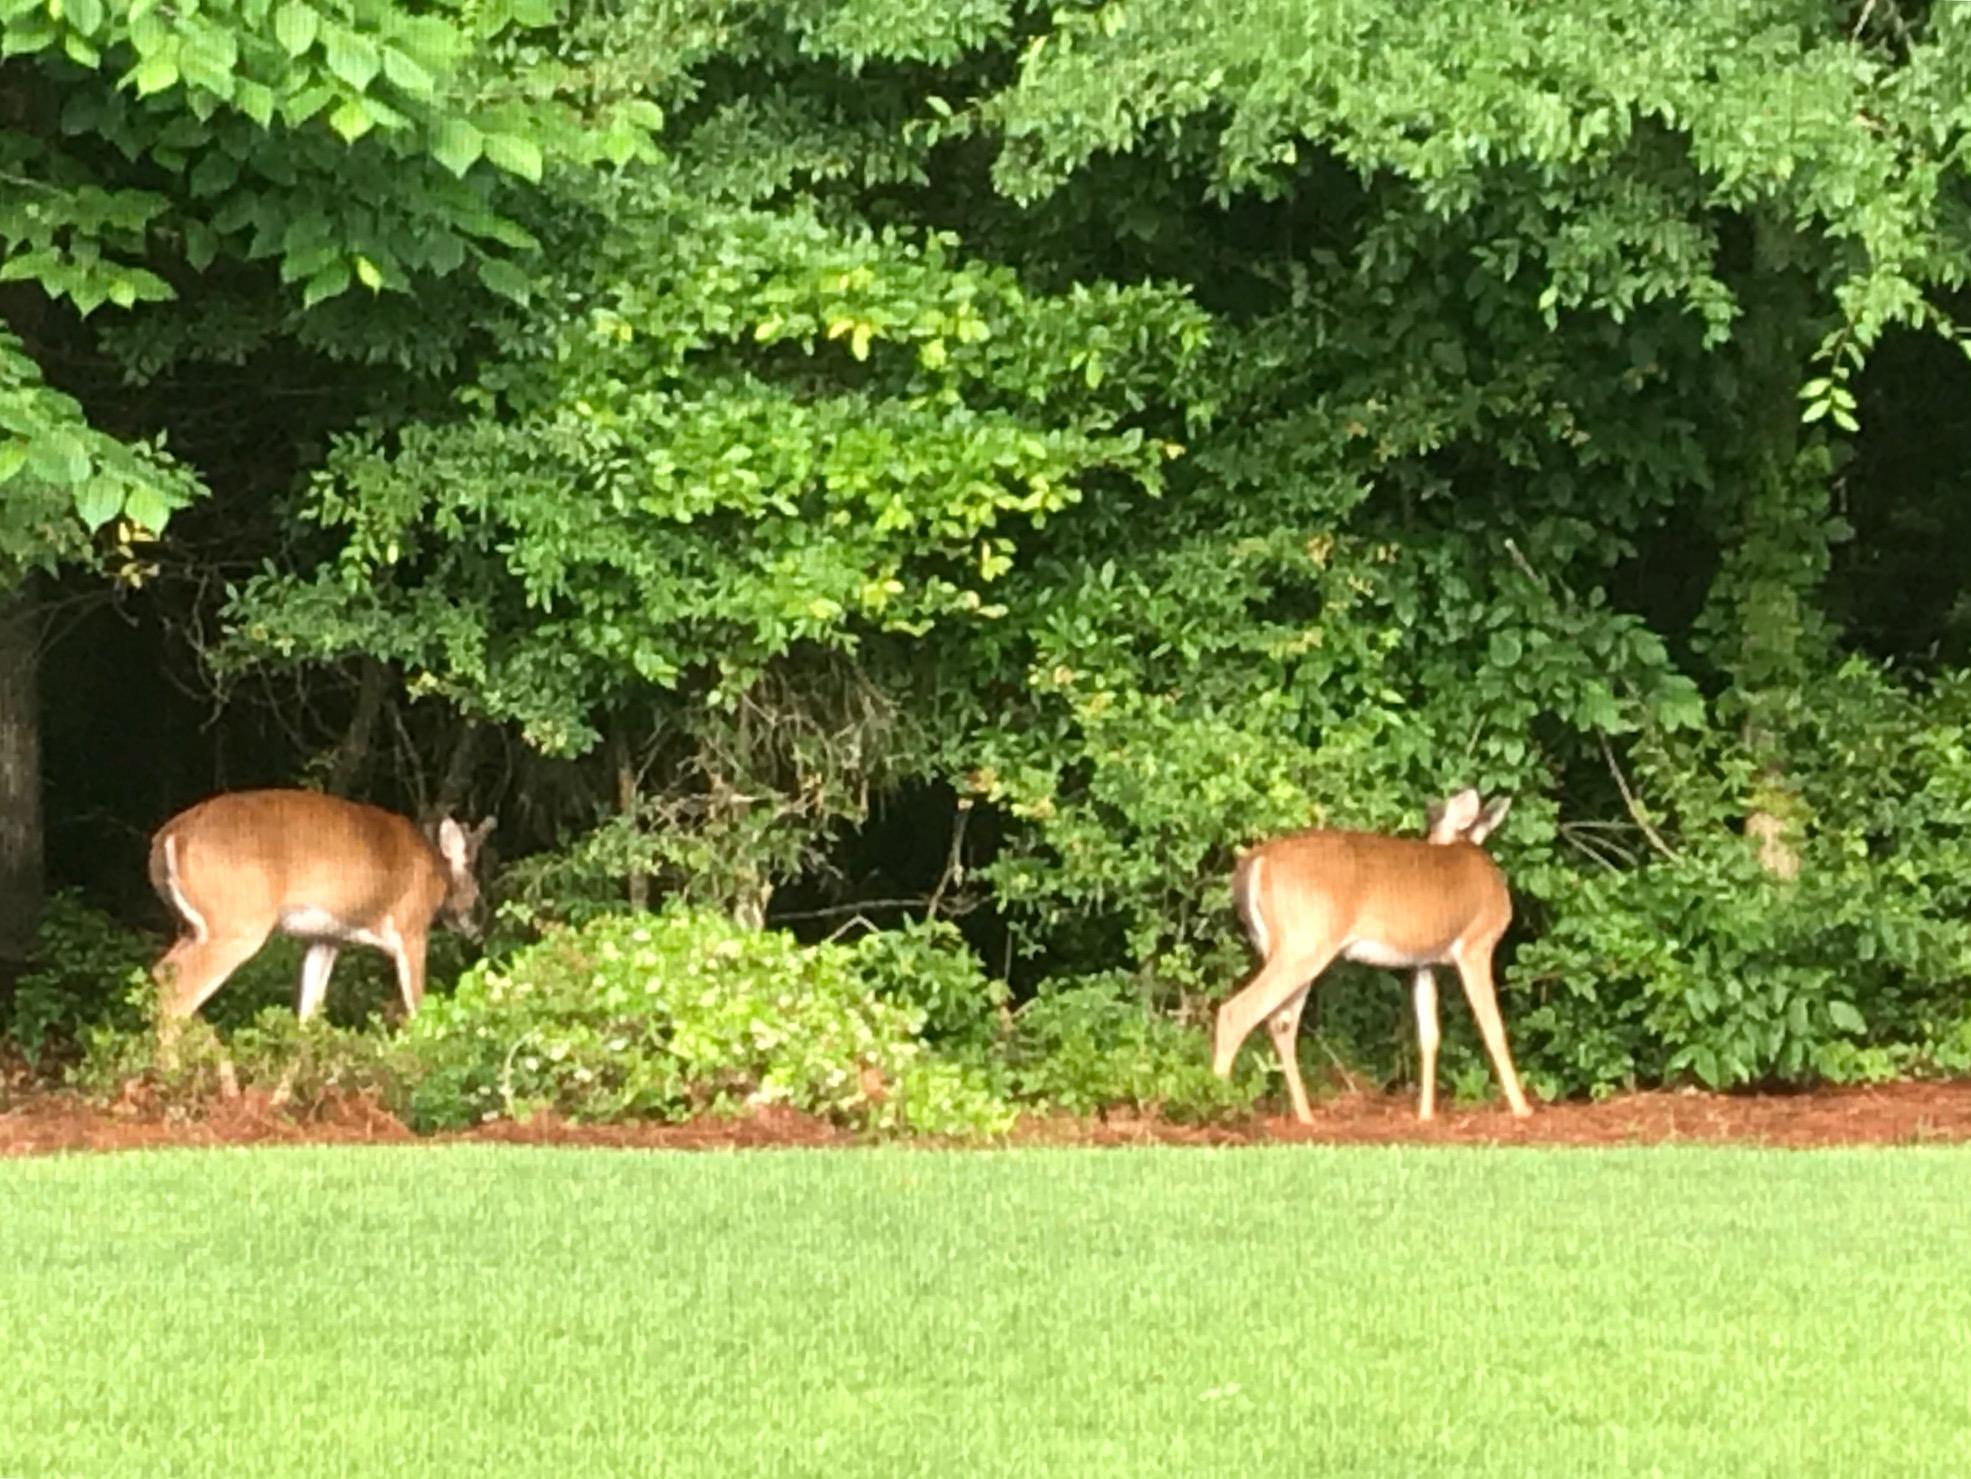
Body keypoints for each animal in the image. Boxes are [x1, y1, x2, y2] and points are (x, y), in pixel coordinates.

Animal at [148, 789, 494, 1039]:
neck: (437, 871)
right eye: (477, 889)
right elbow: (417, 1004)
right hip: (236, 923)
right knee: (179, 993)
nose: (479, 925)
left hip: (195, 926)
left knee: (163, 972)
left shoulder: (325, 937)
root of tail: (169, 836)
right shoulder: (410, 927)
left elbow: (309, 1009)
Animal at [1211, 787, 1532, 1123]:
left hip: (1291, 947)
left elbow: (1429, 1036)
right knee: (1237, 1012)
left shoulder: (1424, 962)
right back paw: (1219, 1106)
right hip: (1305, 941)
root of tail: (1256, 862)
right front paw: (1523, 1108)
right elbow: (1494, 1028)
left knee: (1280, 1023)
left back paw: (1305, 1116)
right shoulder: (1476, 945)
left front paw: (1425, 1114)